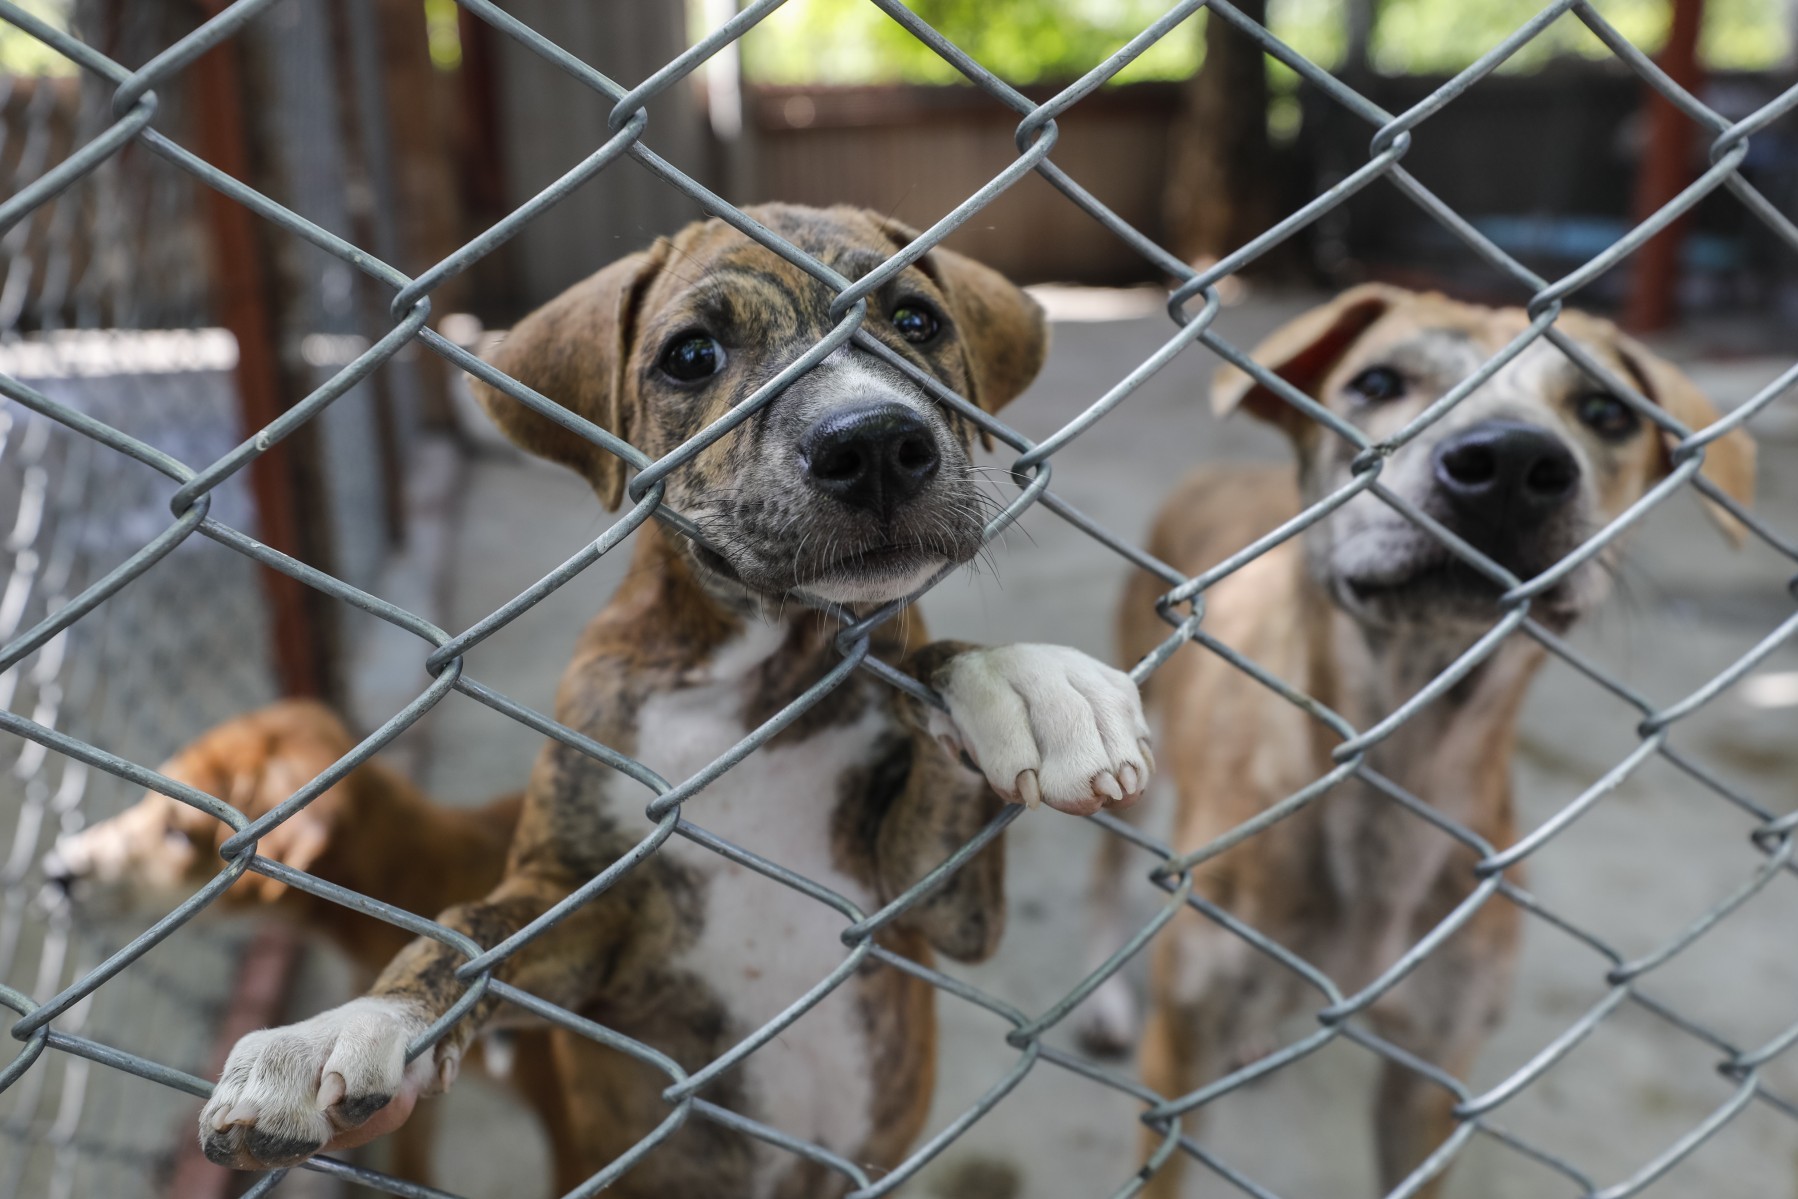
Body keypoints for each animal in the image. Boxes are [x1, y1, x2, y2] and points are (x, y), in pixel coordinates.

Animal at [193, 201, 1150, 1193]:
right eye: (692, 355)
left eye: (918, 320)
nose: (876, 442)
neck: (760, 676)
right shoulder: (580, 904)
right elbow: (467, 935)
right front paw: (341, 1027)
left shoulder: (927, 905)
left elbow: (932, 671)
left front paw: (1028, 682)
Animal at [1085, 287, 1747, 1199]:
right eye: (1377, 382)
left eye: (1605, 410)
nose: (1510, 463)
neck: (1398, 766)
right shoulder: (1179, 1059)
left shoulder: (1433, 1077)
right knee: (1108, 876)